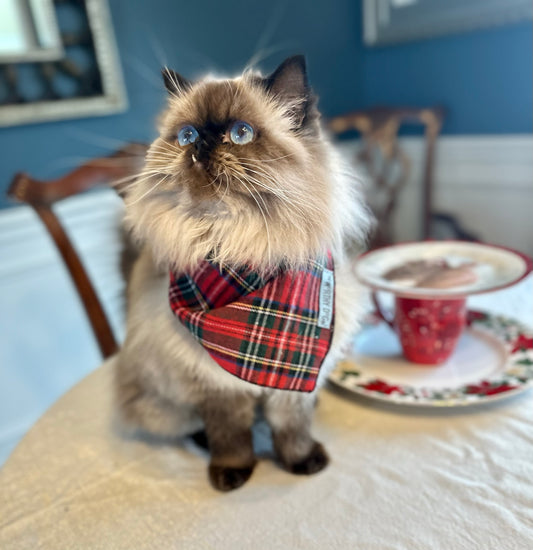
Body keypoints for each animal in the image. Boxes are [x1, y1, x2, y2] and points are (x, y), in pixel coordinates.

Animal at [115, 56, 374, 494]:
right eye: (186, 136)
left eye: (241, 134)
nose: (201, 145)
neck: (236, 245)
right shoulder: (215, 385)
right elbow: (231, 437)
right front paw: (232, 475)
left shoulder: (291, 385)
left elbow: (292, 428)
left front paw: (302, 462)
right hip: (164, 398)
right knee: (193, 426)